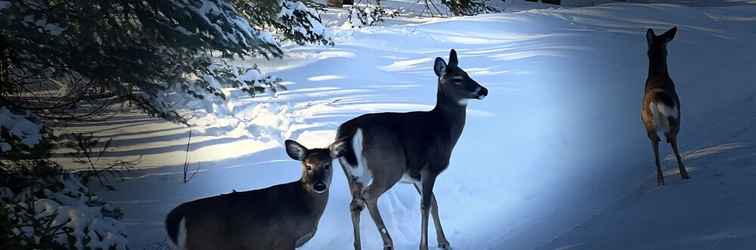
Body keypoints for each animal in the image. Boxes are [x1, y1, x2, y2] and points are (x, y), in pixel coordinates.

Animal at [164, 140, 346, 250]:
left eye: (327, 165)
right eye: (308, 166)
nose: (319, 185)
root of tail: (174, 217)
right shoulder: (283, 239)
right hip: (202, 243)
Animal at [328, 49, 488, 250]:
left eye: (467, 73)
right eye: (457, 79)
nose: (484, 90)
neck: (444, 128)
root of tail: (350, 131)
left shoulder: (415, 176)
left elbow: (434, 203)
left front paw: (444, 242)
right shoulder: (430, 168)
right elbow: (425, 206)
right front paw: (425, 246)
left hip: (353, 174)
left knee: (355, 204)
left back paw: (359, 246)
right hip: (389, 167)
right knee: (369, 196)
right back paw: (388, 242)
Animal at [640, 26, 688, 188]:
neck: (658, 74)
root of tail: (655, 100)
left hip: (648, 125)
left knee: (656, 152)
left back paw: (660, 182)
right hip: (674, 118)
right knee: (673, 142)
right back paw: (685, 175)